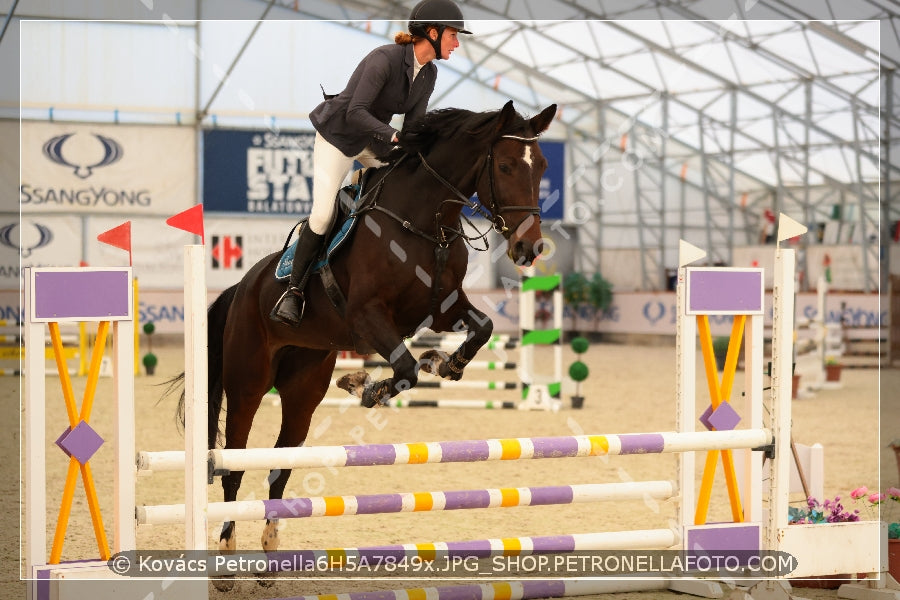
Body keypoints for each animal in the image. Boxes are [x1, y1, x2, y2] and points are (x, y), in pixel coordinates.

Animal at [194, 101, 556, 556]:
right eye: (506, 166)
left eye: (541, 166)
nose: (529, 248)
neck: (426, 222)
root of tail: (242, 286)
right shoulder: (368, 317)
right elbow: (405, 369)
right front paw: (367, 386)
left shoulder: (442, 308)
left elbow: (482, 328)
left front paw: (444, 362)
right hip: (248, 383)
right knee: (235, 462)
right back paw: (227, 541)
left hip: (303, 389)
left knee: (280, 464)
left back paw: (271, 540)